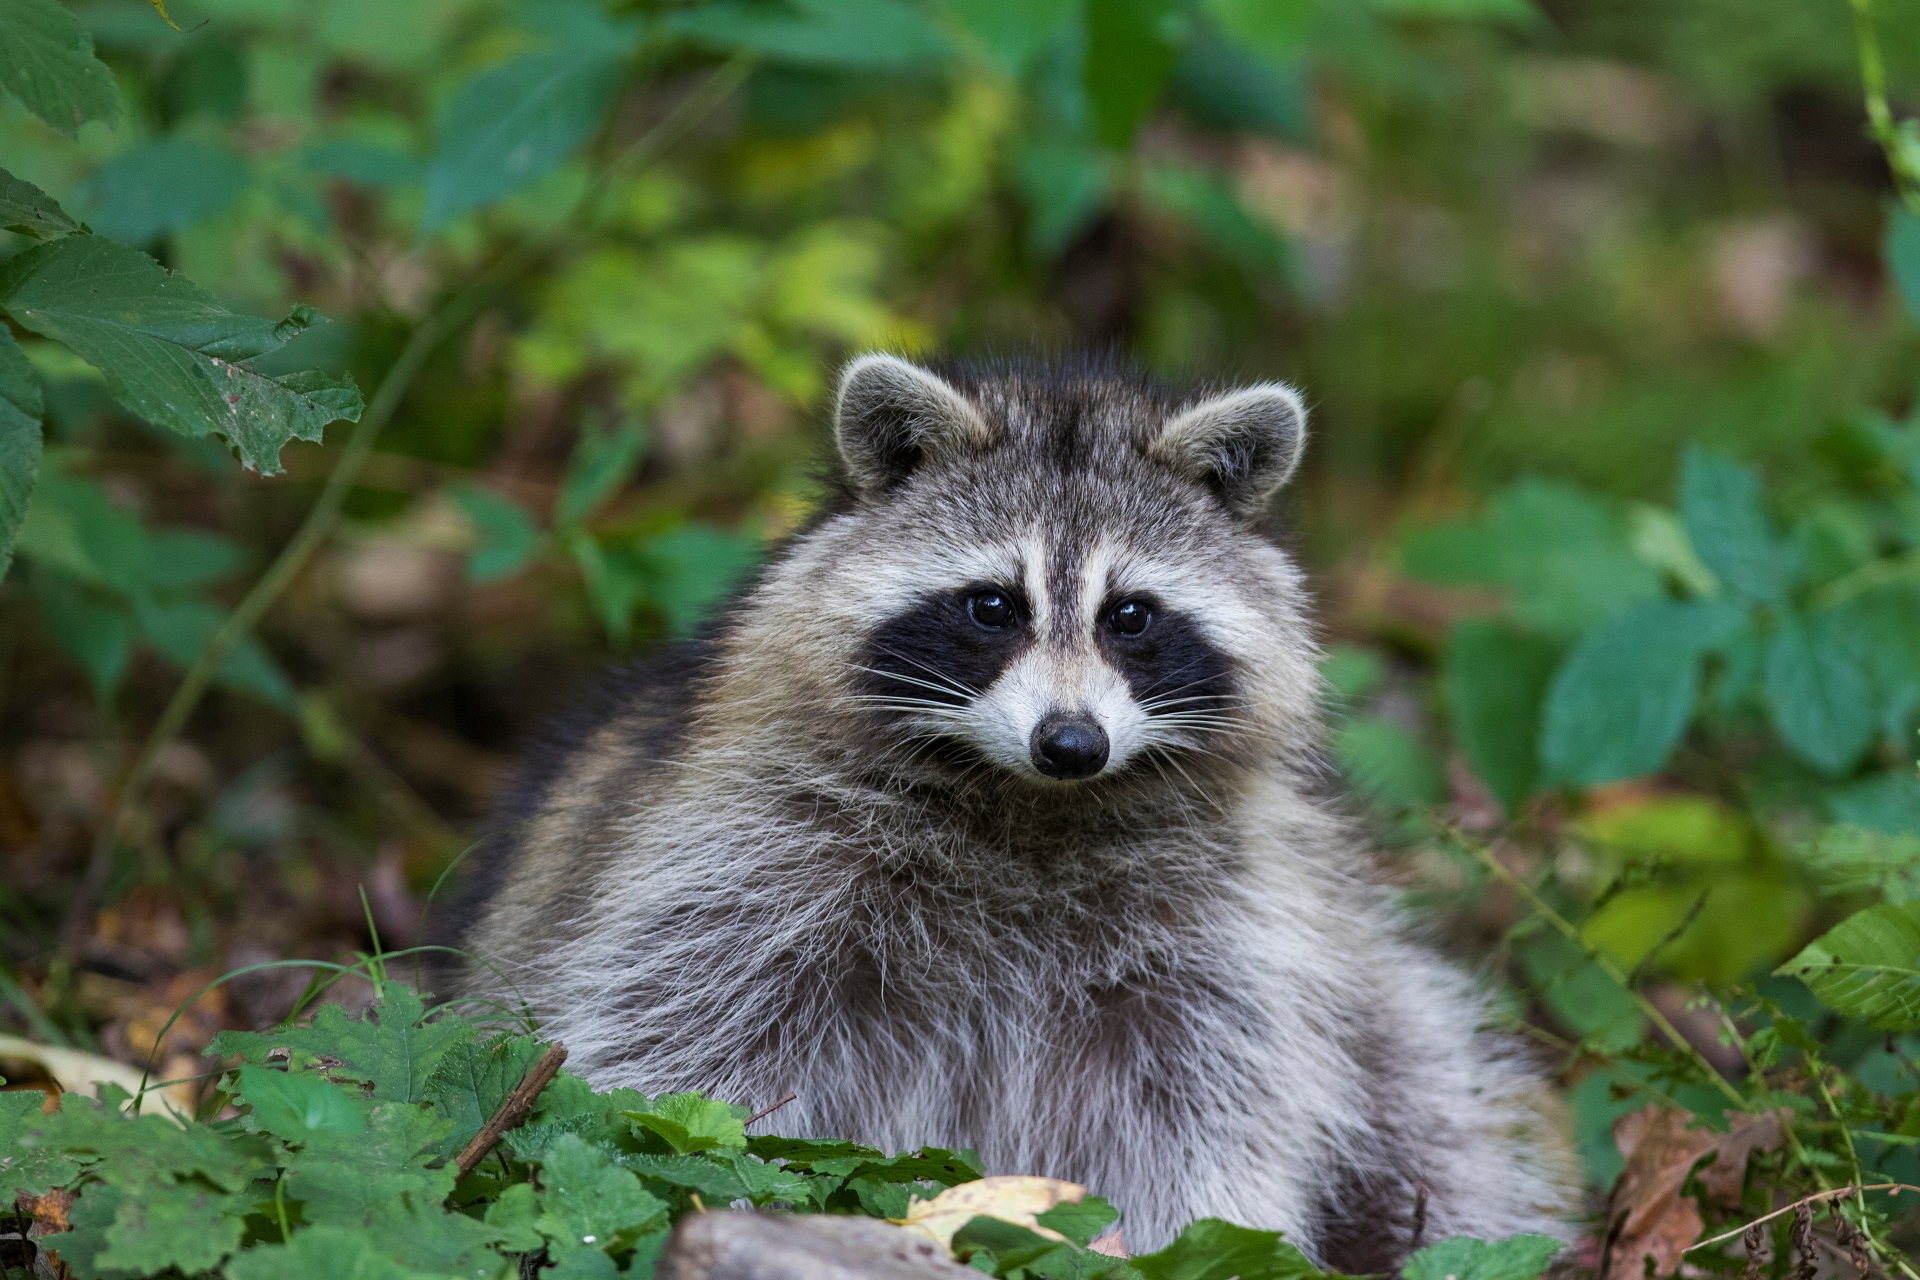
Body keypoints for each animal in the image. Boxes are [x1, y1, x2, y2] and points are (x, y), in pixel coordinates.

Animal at [454, 354, 1577, 1263]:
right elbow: (685, 1055)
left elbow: (1205, 1103)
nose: (1071, 743)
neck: (1027, 802)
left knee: (1433, 1109)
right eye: (994, 605)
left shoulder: (1230, 928)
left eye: (1132, 616)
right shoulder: (747, 856)